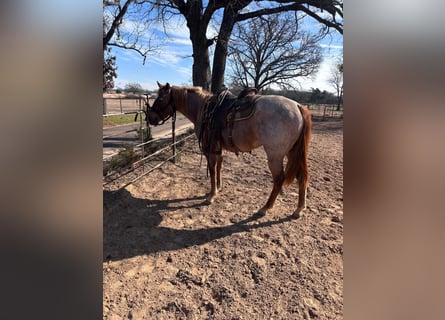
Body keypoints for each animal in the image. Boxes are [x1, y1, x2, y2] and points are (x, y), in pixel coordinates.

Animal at [147, 81, 310, 219]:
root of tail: (297, 106)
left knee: (279, 179)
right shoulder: (218, 147)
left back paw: (265, 208)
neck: (203, 108)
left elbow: (212, 170)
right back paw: (299, 209)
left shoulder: (209, 149)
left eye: (160, 99)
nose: (150, 118)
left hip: (275, 156)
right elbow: (219, 166)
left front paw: (211, 195)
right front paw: (218, 188)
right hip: (292, 153)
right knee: (301, 177)